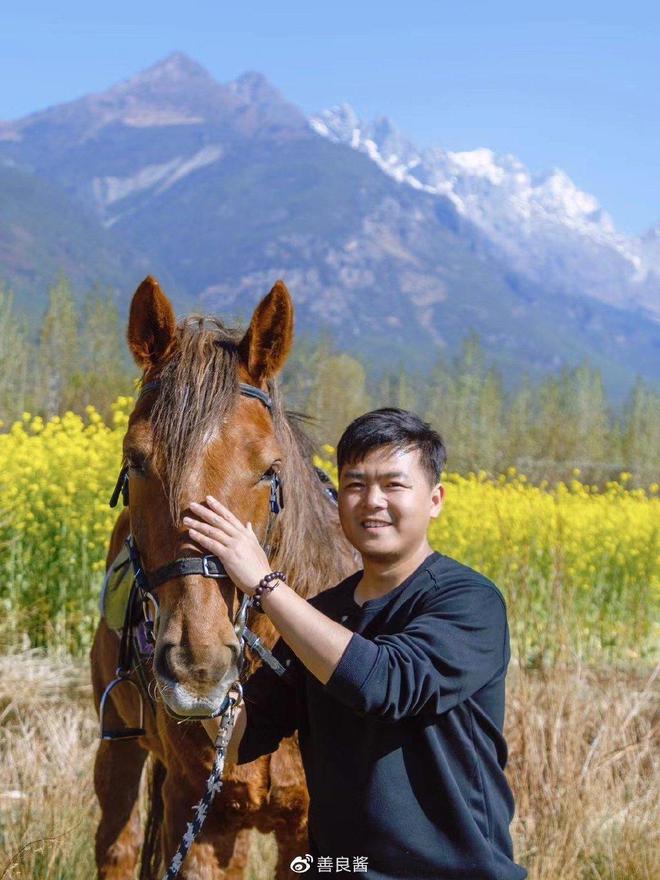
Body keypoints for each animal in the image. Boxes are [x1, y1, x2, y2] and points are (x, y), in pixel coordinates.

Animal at [91, 276, 358, 880]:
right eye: (136, 461)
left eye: (269, 469)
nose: (198, 667)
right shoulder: (205, 821)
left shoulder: (303, 831)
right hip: (117, 747)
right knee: (116, 843)